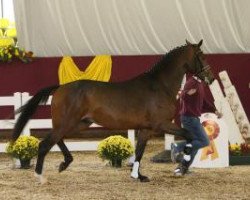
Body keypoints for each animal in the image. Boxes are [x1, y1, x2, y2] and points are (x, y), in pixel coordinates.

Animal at [11, 39, 215, 184]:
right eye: (201, 55)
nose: (211, 78)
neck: (160, 86)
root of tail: (61, 87)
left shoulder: (146, 129)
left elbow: (139, 152)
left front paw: (138, 176)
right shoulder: (161, 124)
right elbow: (188, 135)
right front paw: (182, 164)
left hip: (78, 123)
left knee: (55, 139)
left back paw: (64, 163)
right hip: (68, 123)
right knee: (45, 144)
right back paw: (40, 176)